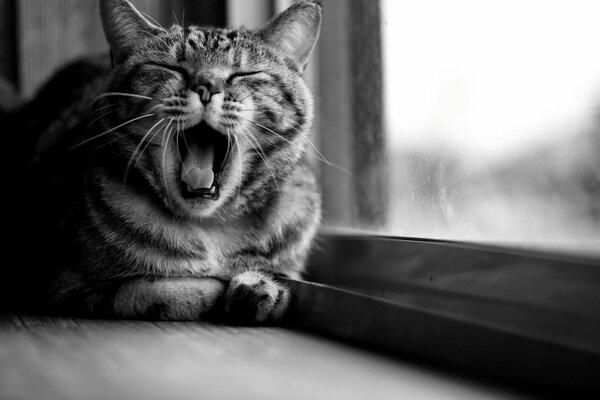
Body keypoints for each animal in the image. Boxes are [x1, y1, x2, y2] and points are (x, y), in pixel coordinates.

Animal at [2, 0, 324, 324]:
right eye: (171, 68)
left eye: (244, 74)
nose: (207, 86)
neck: (209, 226)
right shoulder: (67, 286)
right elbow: (156, 291)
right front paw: (222, 289)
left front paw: (259, 288)